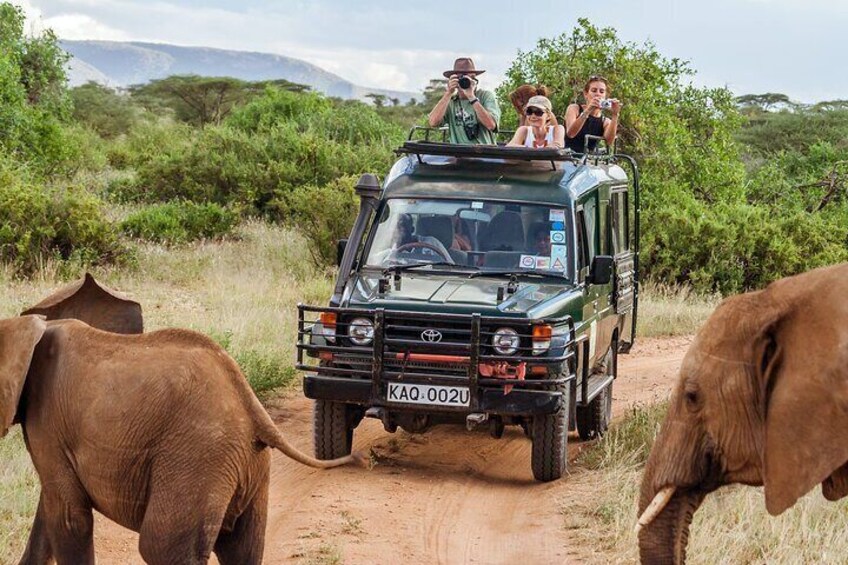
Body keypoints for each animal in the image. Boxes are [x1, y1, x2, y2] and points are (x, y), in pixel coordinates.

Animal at [2, 315, 364, 565]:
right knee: (242, 549)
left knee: (161, 547)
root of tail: (251, 404)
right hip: (244, 464)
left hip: (196, 457)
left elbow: (69, 517)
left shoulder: (49, 424)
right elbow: (49, 515)